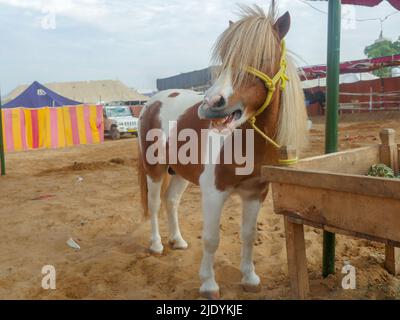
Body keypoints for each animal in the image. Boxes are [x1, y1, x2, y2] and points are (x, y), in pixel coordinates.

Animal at [136, 2, 308, 298]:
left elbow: (248, 235)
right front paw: (208, 284)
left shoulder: (256, 193)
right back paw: (157, 245)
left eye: (263, 56)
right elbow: (211, 238)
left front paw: (250, 278)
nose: (212, 103)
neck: (244, 143)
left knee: (171, 201)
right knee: (156, 203)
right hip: (155, 169)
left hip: (179, 172)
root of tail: (151, 102)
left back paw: (177, 241)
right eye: (226, 57)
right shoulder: (214, 192)